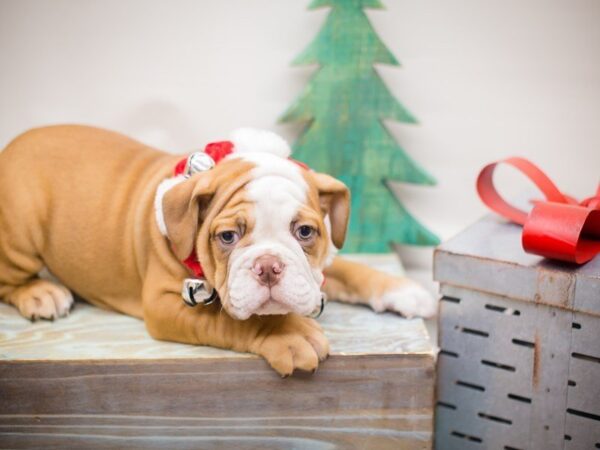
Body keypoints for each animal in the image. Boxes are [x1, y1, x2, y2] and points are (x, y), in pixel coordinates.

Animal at [0, 125, 436, 374]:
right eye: (227, 237)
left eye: (305, 232)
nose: (269, 266)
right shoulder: (164, 304)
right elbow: (231, 321)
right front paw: (288, 333)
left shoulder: (318, 267)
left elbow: (348, 270)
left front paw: (403, 289)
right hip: (21, 229)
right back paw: (40, 292)